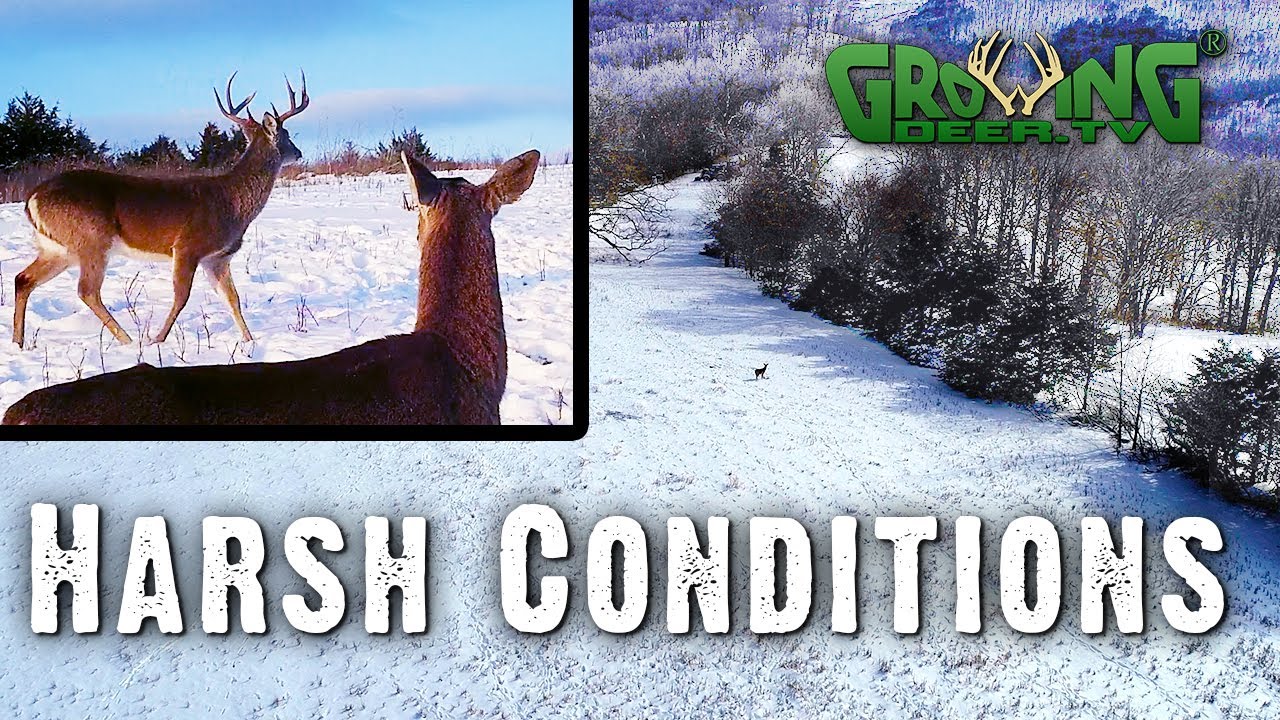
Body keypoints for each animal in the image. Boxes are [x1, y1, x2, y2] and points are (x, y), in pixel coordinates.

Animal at [11, 71, 310, 349]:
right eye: (286, 135)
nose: (299, 153)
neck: (233, 202)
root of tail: (32, 198)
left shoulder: (217, 258)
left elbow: (232, 298)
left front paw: (250, 341)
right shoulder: (188, 246)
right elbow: (181, 297)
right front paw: (157, 339)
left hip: (57, 248)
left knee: (23, 279)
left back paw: (18, 342)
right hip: (91, 239)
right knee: (87, 291)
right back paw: (128, 340)